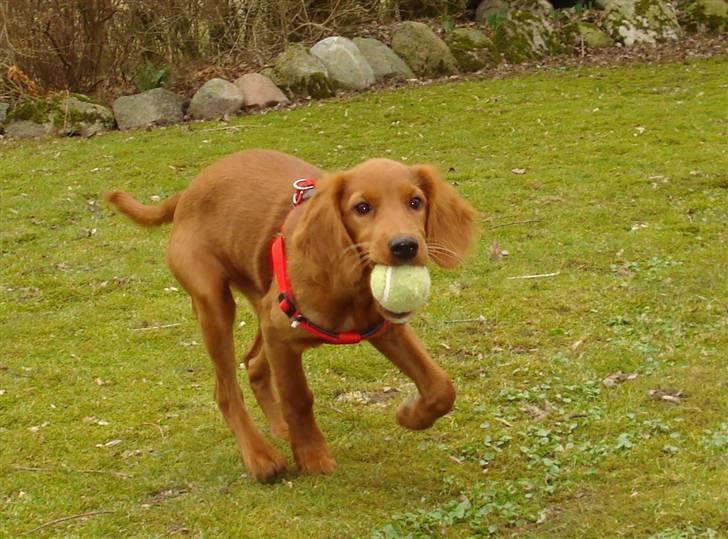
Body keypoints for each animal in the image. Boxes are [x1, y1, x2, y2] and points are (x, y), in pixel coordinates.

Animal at [104, 150, 478, 484]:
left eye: (415, 202)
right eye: (362, 208)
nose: (405, 247)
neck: (350, 287)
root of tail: (187, 193)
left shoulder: (386, 328)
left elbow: (441, 387)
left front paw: (411, 415)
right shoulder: (281, 331)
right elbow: (298, 397)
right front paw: (312, 457)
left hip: (262, 300)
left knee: (254, 363)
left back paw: (281, 429)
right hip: (214, 302)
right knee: (226, 389)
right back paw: (260, 458)